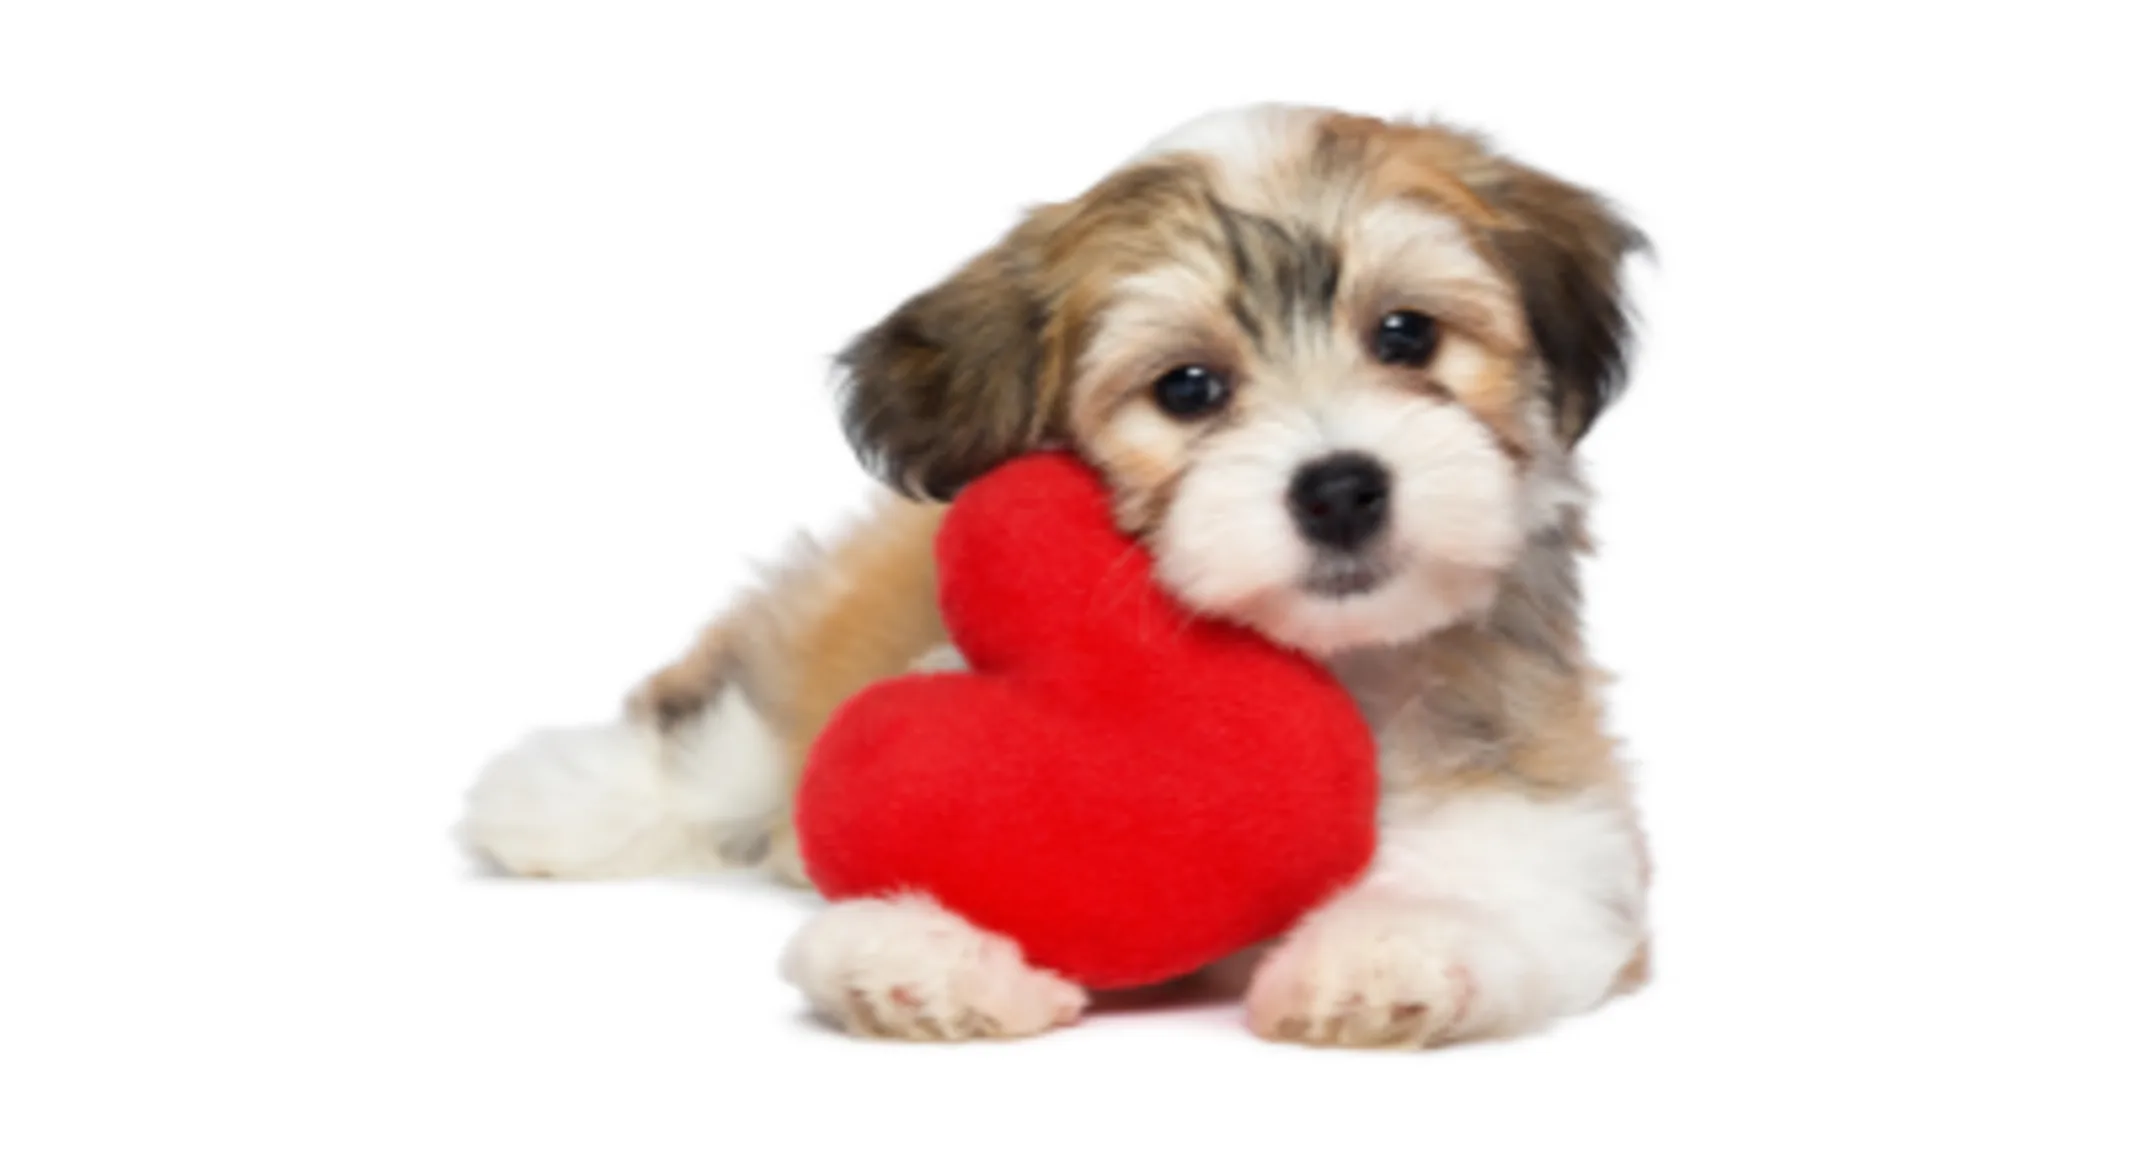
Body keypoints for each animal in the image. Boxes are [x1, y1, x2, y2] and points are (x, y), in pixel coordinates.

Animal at [455, 105, 1652, 1048]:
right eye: (1188, 389)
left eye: (1406, 334)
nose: (1341, 487)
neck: (1328, 664)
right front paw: (919, 947)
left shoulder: (1562, 817)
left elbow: (1520, 882)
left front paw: (1392, 946)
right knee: (727, 729)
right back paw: (550, 798)